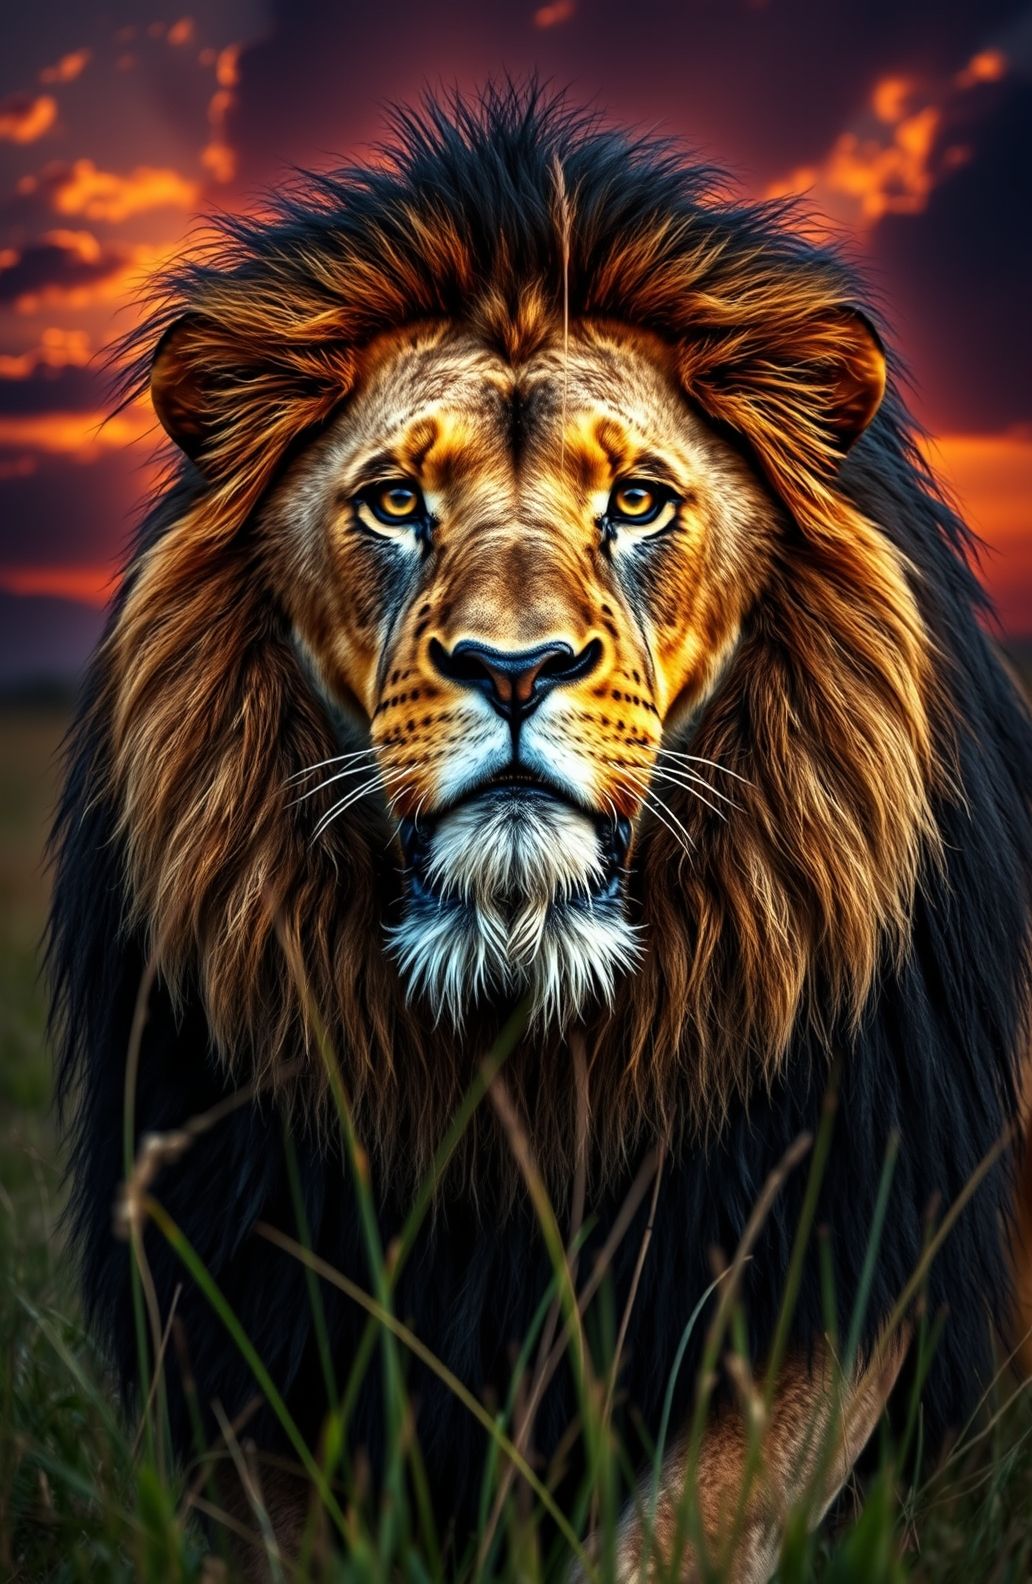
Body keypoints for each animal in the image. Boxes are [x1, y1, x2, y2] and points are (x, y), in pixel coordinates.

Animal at [49, 86, 1032, 1581]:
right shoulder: (242, 1301)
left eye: (636, 501)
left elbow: (671, 1537)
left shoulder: (823, 1270)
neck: (522, 1028)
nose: (516, 671)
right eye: (397, 501)